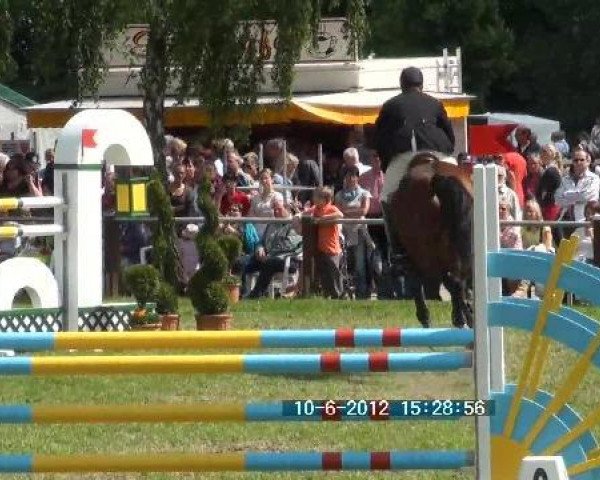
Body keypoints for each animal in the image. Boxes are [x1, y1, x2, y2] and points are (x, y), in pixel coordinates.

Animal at [384, 152, 474, 328]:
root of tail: (435, 178)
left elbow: (417, 288)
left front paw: (425, 318)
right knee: (461, 281)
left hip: (428, 253)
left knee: (454, 282)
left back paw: (460, 319)